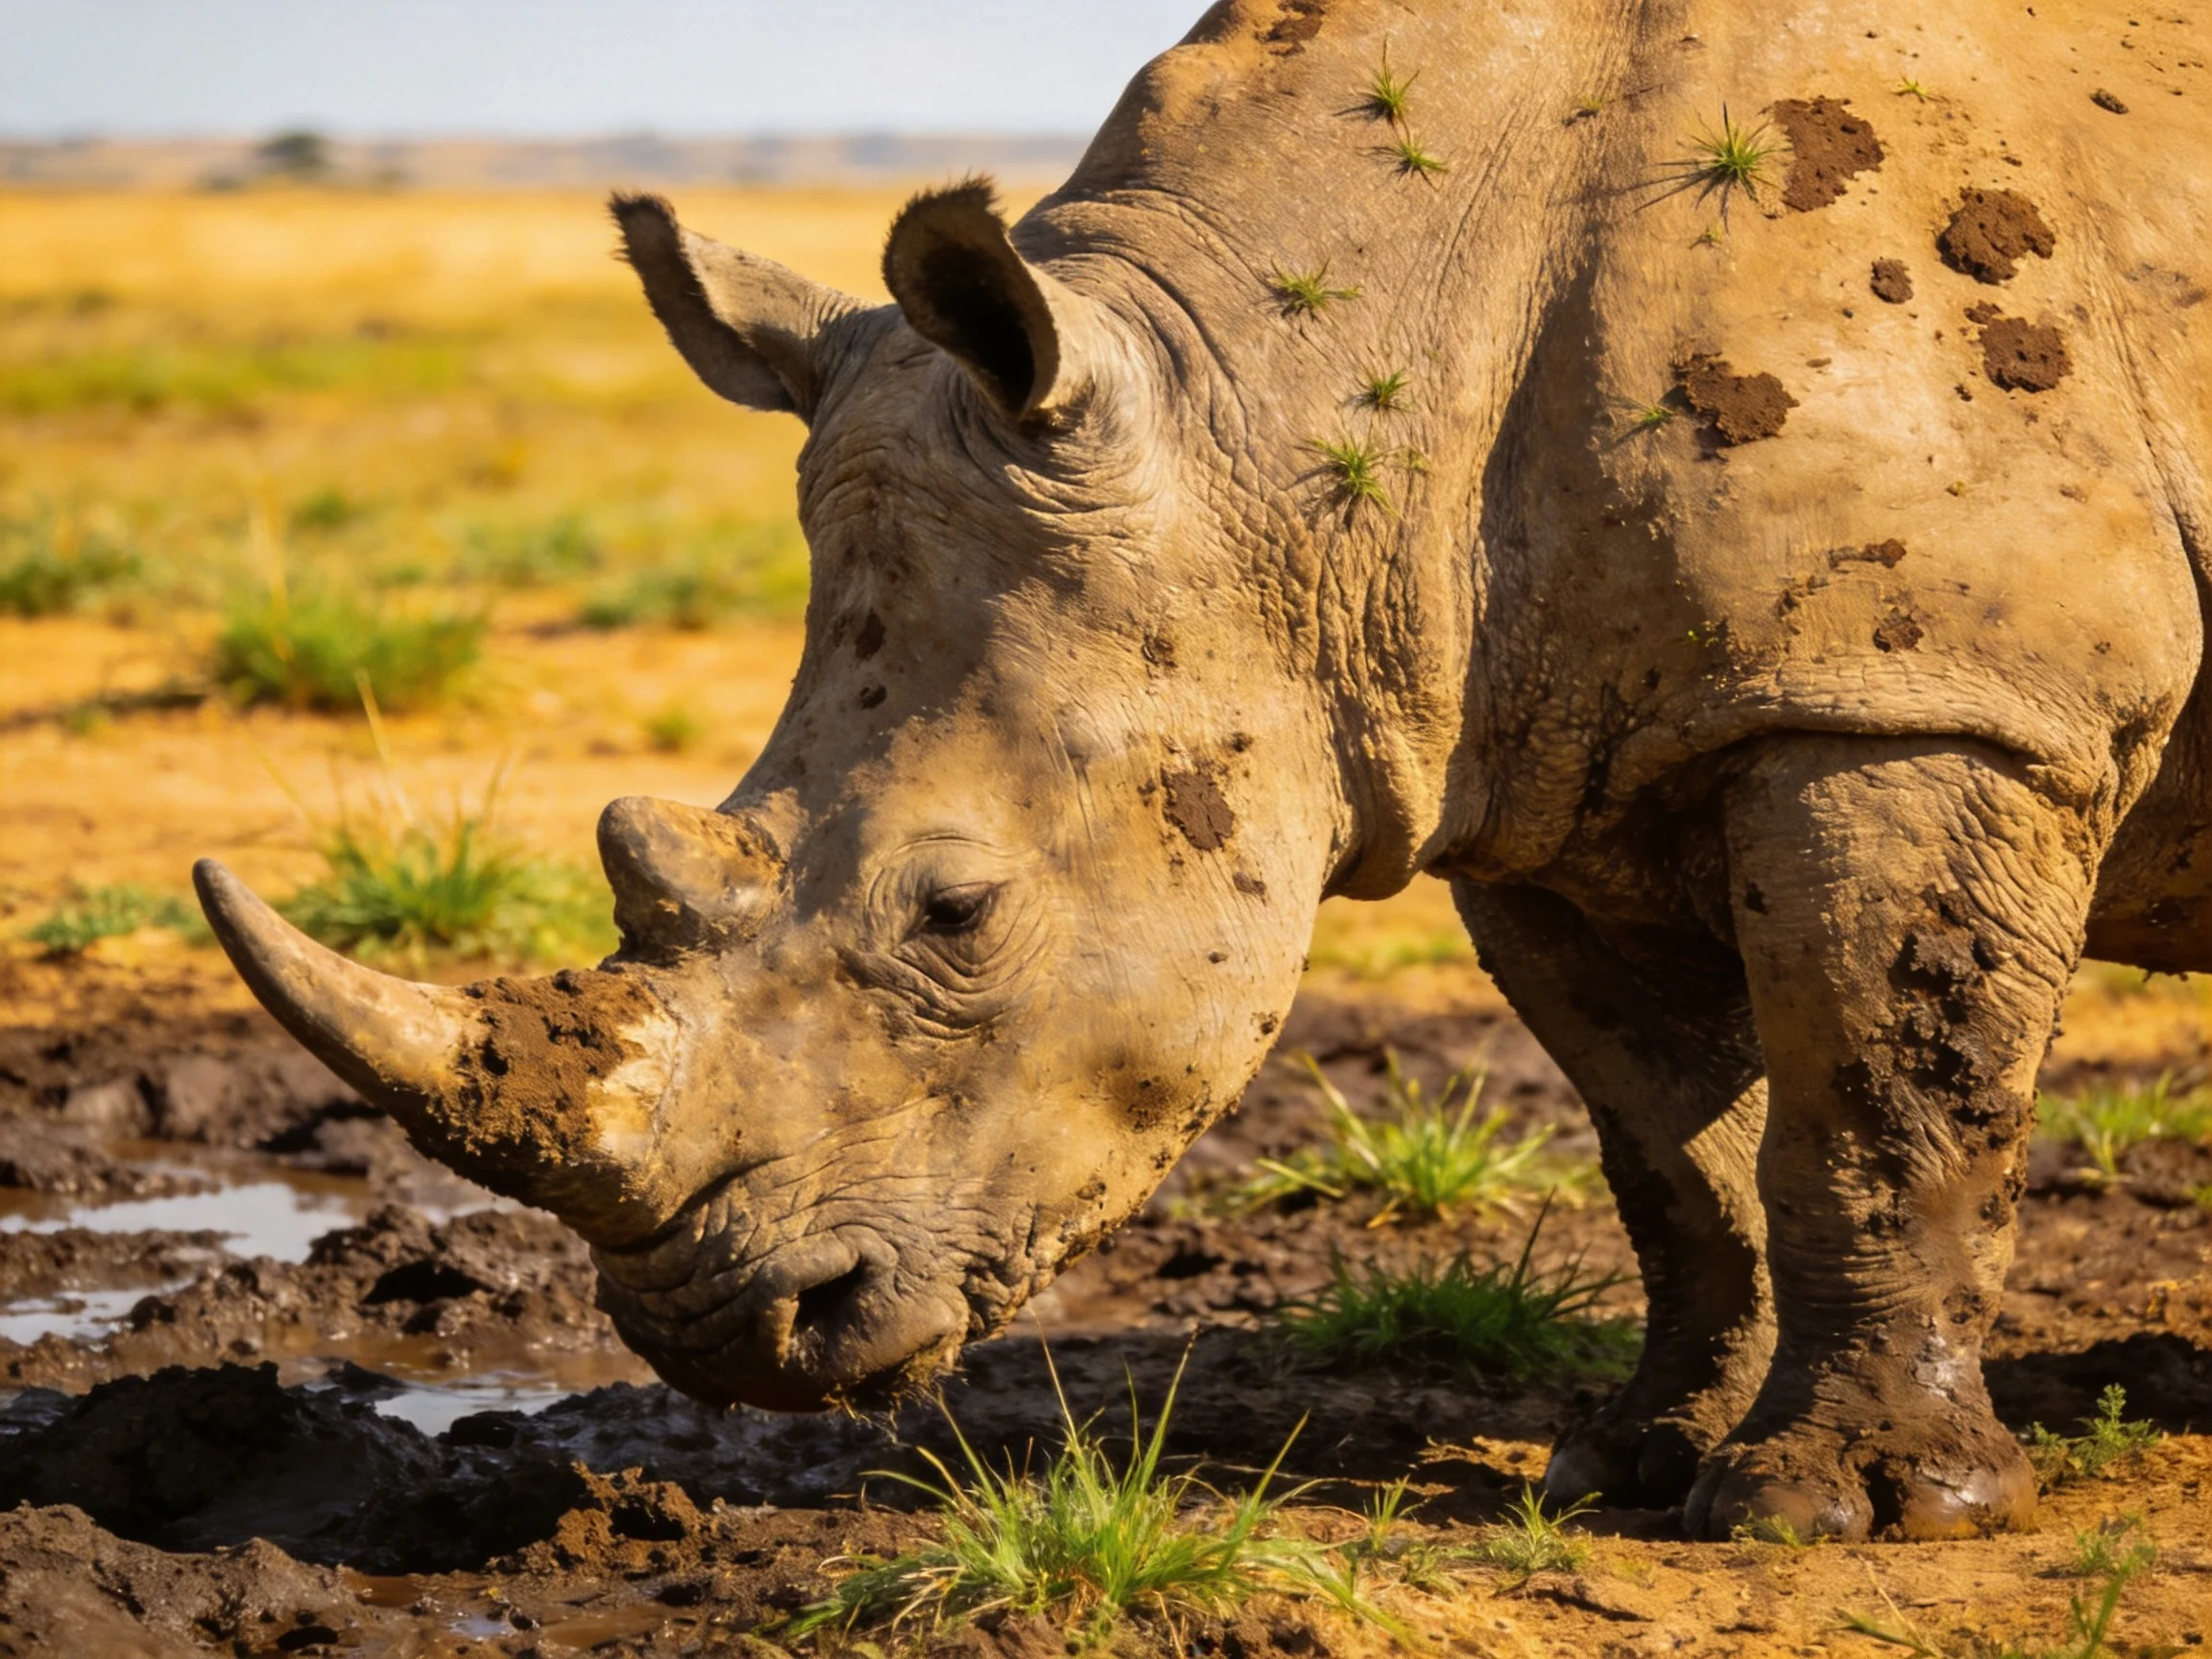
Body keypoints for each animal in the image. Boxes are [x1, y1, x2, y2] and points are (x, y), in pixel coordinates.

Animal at [194, 0, 2211, 1541]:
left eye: (956, 912)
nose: (720, 1332)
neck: (1300, 394)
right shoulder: (1532, 777)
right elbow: (1670, 1146)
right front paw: (1631, 1458)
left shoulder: (1921, 694)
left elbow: (1874, 1103)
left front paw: (1840, 1511)